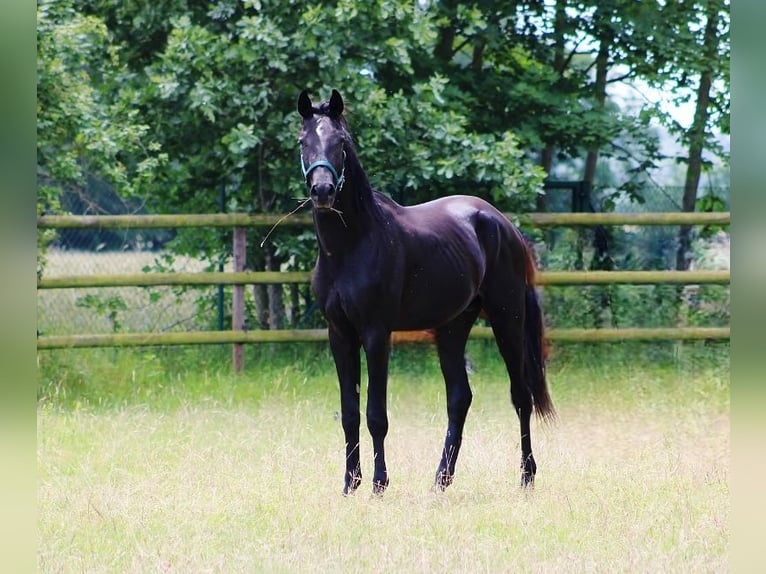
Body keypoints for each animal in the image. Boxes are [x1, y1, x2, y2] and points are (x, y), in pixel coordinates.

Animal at [296, 89, 556, 496]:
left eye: (340, 143)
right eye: (303, 142)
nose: (322, 191)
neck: (353, 245)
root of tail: (503, 225)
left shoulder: (376, 333)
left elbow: (376, 414)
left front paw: (379, 484)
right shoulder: (340, 334)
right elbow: (349, 413)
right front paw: (350, 485)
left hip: (507, 319)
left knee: (521, 396)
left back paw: (526, 478)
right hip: (451, 328)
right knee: (460, 398)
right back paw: (441, 481)